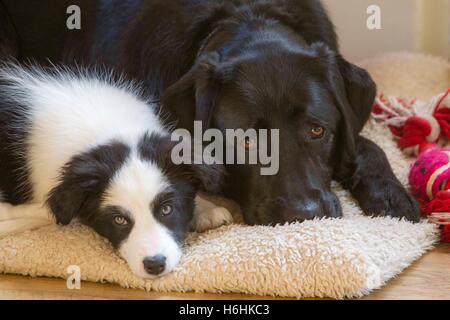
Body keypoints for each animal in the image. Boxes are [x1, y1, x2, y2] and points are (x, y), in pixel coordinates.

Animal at [1, 0, 420, 225]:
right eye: (246, 142)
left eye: (317, 131)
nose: (303, 214)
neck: (244, 15)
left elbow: (365, 143)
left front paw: (390, 194)